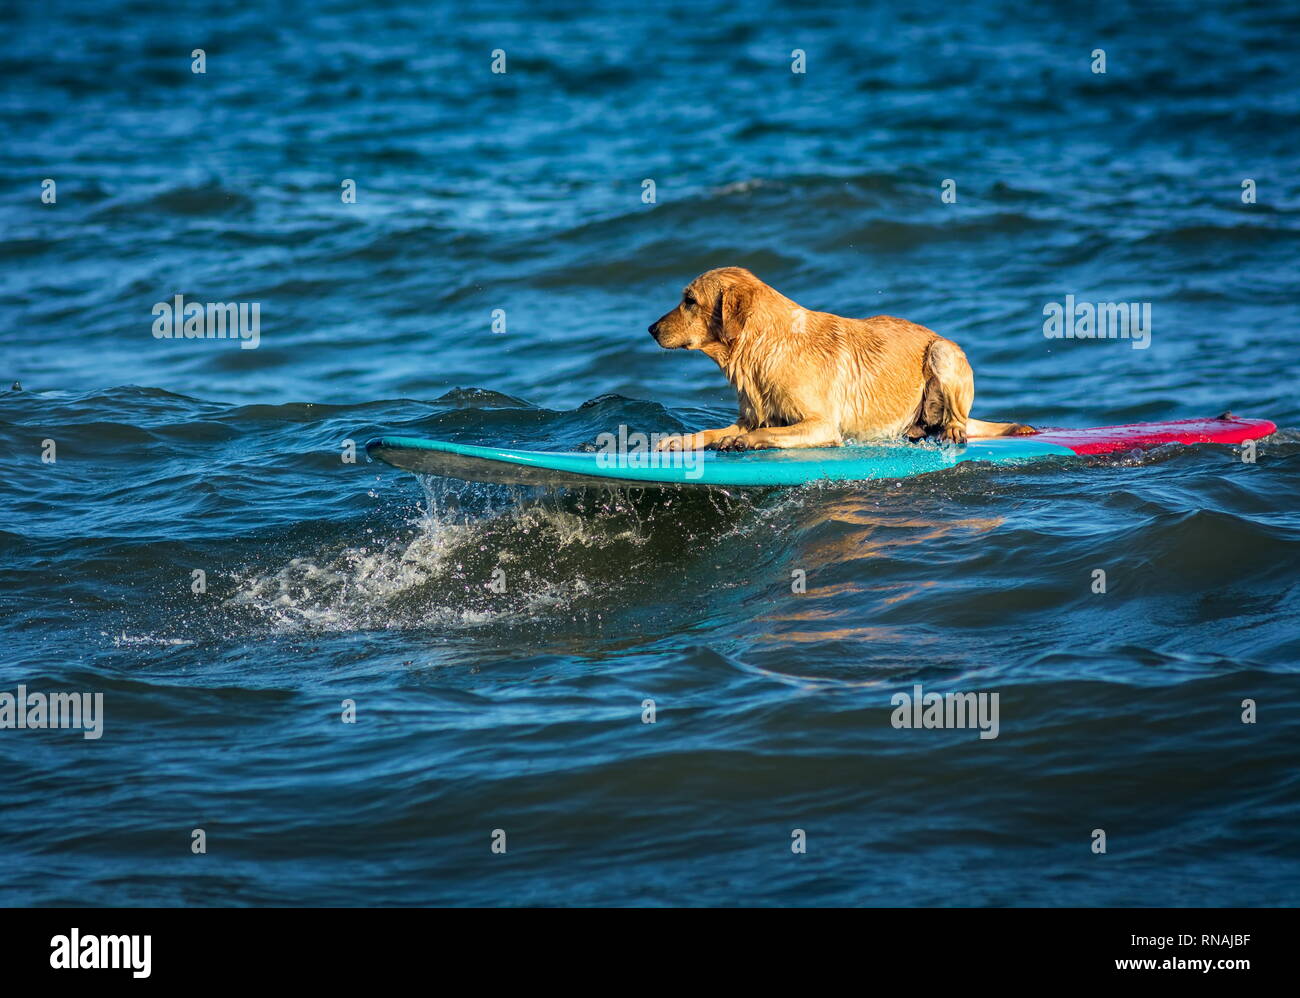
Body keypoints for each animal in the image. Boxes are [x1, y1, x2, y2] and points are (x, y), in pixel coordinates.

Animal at [644, 267, 1029, 449]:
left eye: (689, 301)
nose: (650, 328)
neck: (761, 348)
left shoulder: (822, 424)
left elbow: (768, 433)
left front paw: (742, 442)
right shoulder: (750, 417)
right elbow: (713, 430)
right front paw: (679, 441)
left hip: (942, 351)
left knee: (959, 420)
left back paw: (950, 429)